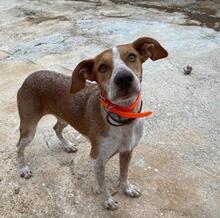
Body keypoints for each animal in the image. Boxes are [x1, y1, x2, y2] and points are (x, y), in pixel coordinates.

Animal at [16, 37, 168, 209]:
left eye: (131, 56)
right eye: (102, 67)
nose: (124, 78)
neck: (123, 118)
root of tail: (29, 77)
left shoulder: (127, 151)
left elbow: (124, 174)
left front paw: (127, 188)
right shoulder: (97, 160)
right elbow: (102, 185)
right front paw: (107, 200)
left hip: (66, 117)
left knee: (56, 128)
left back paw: (67, 145)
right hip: (29, 128)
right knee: (19, 147)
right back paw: (23, 168)